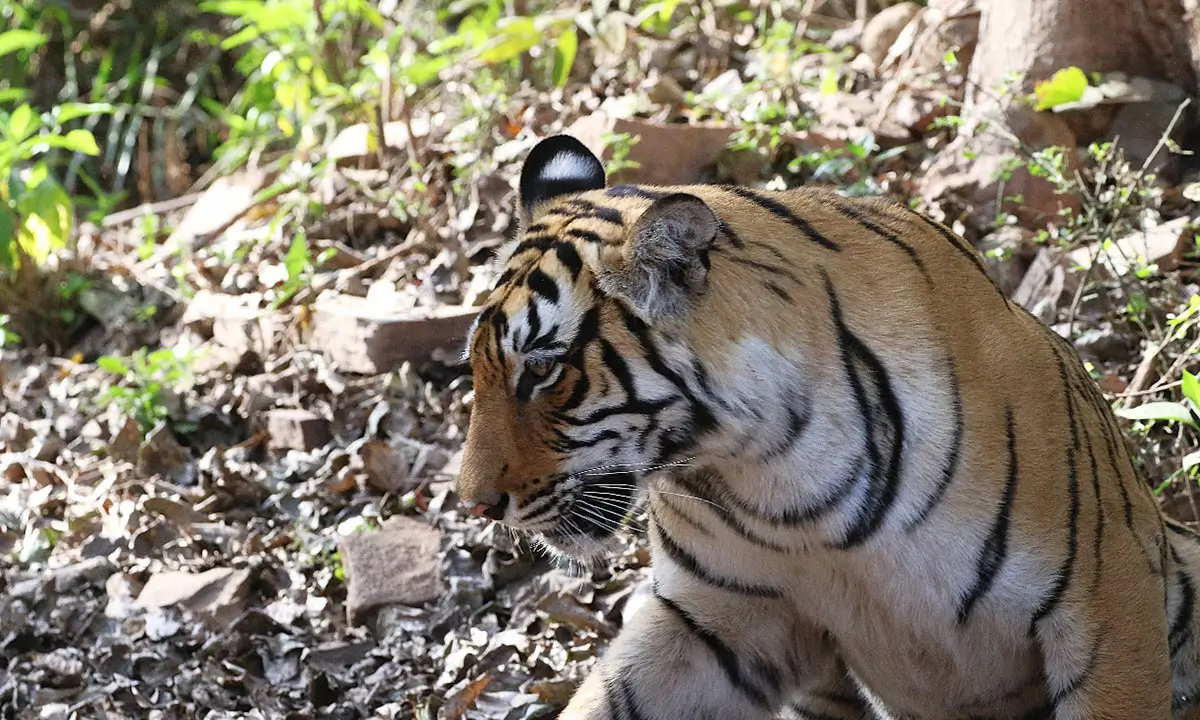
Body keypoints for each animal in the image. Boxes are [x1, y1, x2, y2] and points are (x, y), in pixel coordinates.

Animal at [454, 133, 1200, 720]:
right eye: (479, 370)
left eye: (543, 369)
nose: (475, 505)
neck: (774, 479)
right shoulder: (718, 620)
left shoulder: (1106, 603)